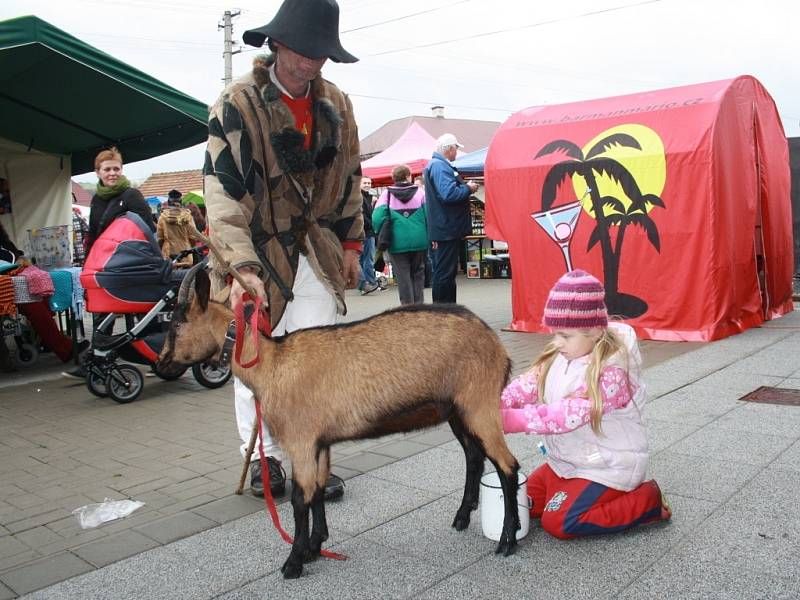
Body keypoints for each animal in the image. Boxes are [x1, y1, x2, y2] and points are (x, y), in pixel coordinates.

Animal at [159, 266, 520, 576]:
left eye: (176, 324)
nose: (162, 364)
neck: (272, 367)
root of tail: (497, 345)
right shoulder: (319, 443)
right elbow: (318, 491)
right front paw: (315, 547)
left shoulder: (301, 441)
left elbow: (300, 499)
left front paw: (293, 563)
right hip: (458, 411)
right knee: (474, 457)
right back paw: (463, 518)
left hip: (479, 404)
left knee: (507, 466)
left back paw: (507, 540)